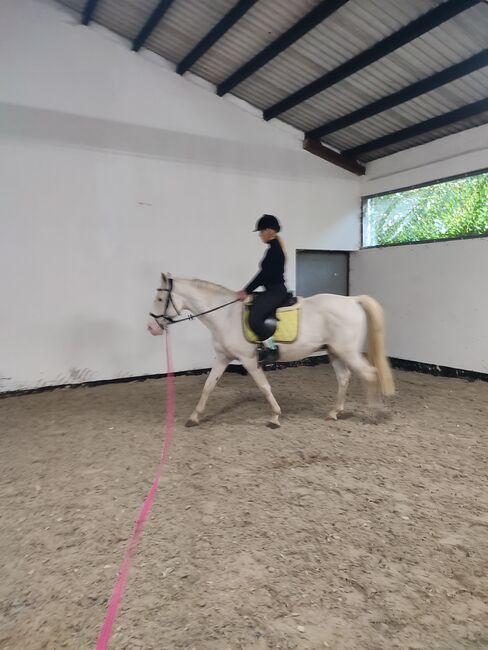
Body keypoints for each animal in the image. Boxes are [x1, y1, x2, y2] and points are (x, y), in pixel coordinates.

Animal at [147, 272, 394, 428]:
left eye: (160, 298)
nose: (151, 328)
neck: (225, 316)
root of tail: (352, 300)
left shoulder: (248, 360)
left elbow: (264, 387)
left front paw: (275, 417)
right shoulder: (222, 358)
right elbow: (208, 386)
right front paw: (194, 417)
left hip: (348, 351)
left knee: (370, 374)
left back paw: (374, 413)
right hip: (335, 351)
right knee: (344, 378)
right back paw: (334, 413)